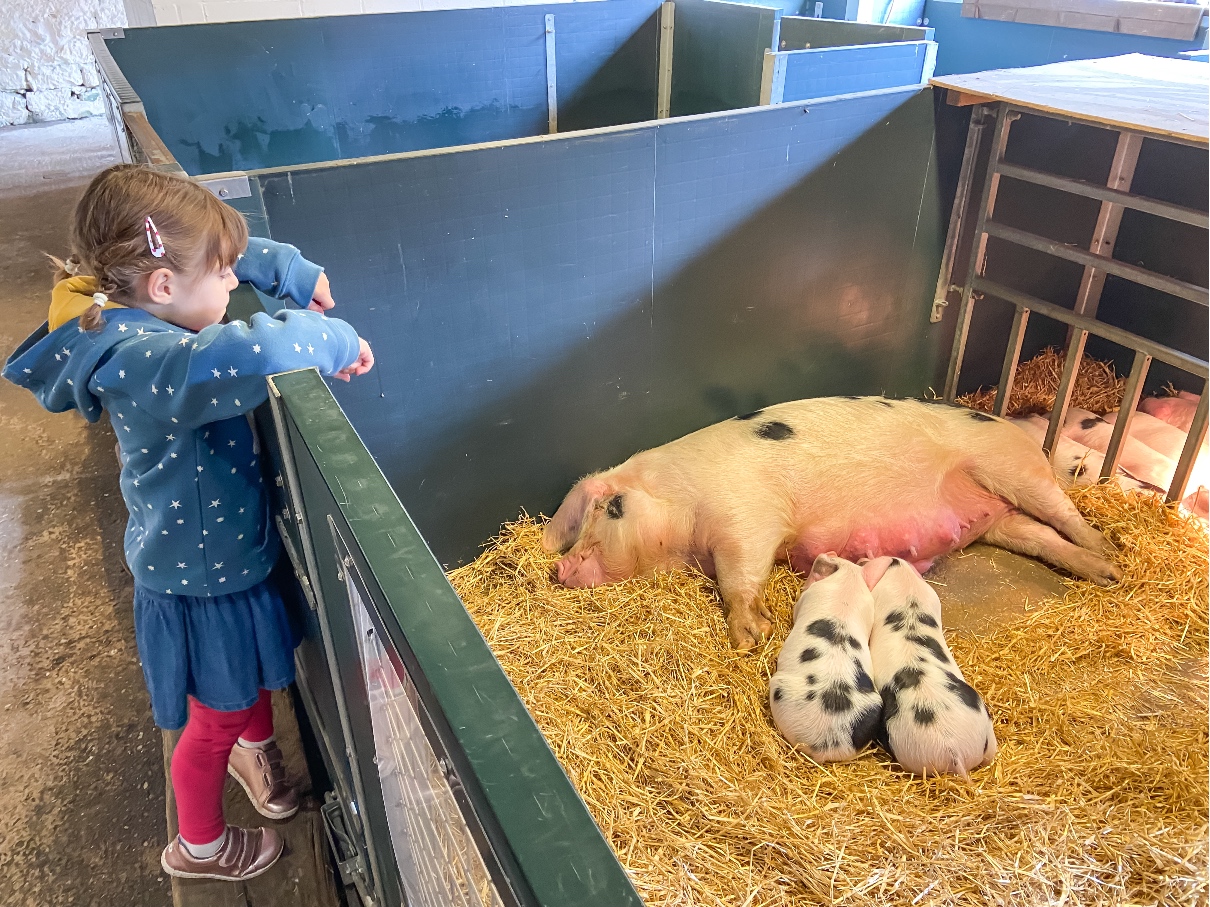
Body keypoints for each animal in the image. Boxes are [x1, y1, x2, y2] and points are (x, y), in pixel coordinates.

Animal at [544, 394, 1118, 648]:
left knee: (1063, 514)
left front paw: (750, 636)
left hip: (1013, 469)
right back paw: (1104, 571)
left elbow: (739, 578)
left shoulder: (747, 517)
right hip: (997, 519)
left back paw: (1111, 555)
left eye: (607, 511)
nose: (559, 569)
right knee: (1040, 537)